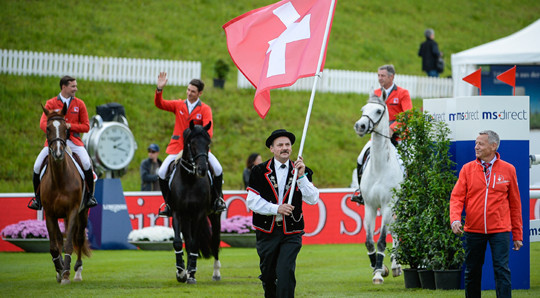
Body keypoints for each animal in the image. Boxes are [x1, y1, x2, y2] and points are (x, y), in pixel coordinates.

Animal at [40, 103, 91, 286]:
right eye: (48, 128)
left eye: (65, 128)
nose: (58, 153)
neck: (60, 179)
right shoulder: (50, 213)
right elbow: (54, 246)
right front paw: (59, 269)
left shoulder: (73, 210)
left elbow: (69, 243)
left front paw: (67, 274)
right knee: (59, 239)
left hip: (83, 213)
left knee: (79, 237)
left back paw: (78, 272)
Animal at [169, 120, 219, 282]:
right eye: (191, 143)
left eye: (208, 143)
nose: (202, 169)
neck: (189, 179)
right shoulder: (177, 212)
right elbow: (179, 242)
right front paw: (181, 272)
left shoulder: (200, 213)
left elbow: (195, 242)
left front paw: (191, 272)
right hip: (186, 218)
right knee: (188, 240)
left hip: (214, 215)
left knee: (215, 241)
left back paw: (216, 273)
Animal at [352, 91, 402, 284]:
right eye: (363, 109)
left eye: (379, 110)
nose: (360, 125)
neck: (380, 168)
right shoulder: (370, 206)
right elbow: (369, 241)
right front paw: (377, 267)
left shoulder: (388, 205)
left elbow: (381, 241)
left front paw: (379, 273)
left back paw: (396, 265)